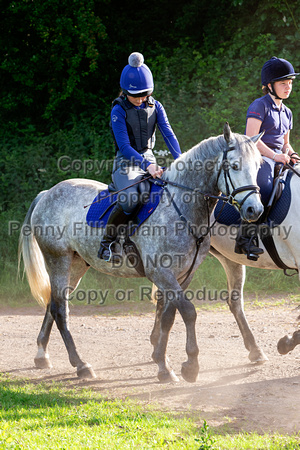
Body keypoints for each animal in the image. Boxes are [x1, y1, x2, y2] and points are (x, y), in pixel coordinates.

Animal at [18, 124, 262, 384]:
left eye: (258, 166)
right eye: (234, 166)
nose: (254, 209)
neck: (182, 207)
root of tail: (47, 193)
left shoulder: (183, 275)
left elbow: (168, 317)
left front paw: (162, 364)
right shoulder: (161, 273)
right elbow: (188, 312)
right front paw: (190, 365)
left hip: (76, 265)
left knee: (53, 303)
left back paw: (42, 355)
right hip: (58, 259)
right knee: (60, 310)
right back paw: (81, 365)